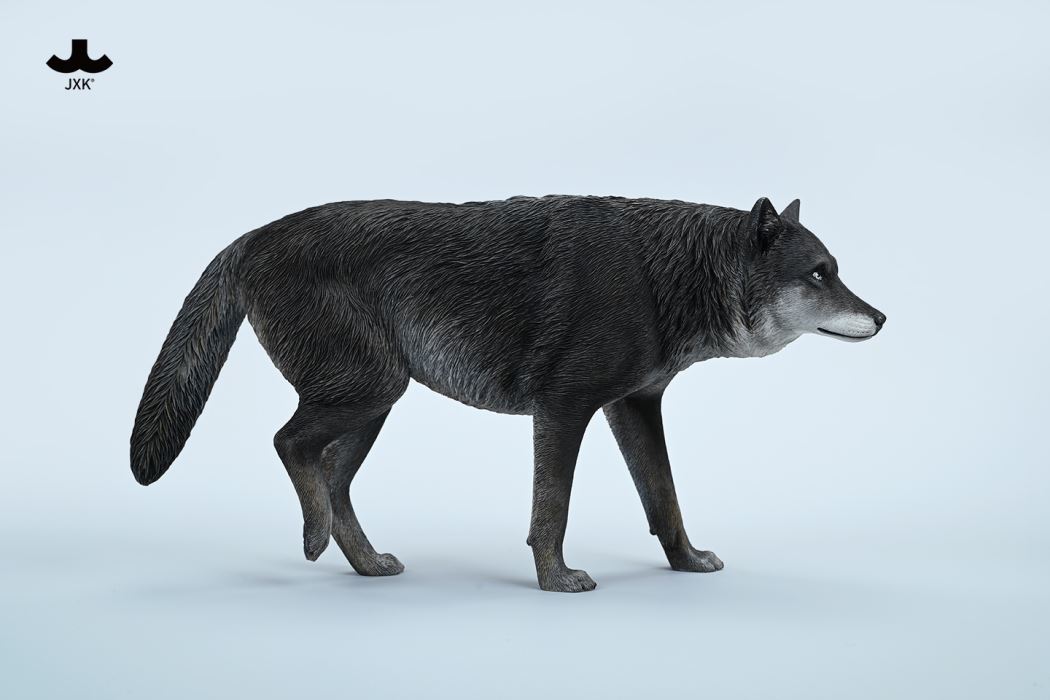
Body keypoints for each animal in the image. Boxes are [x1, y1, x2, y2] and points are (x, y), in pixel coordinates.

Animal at [130, 195, 885, 592]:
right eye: (819, 273)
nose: (881, 318)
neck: (661, 274)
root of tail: (251, 235)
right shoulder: (564, 409)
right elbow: (551, 510)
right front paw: (556, 579)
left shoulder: (634, 407)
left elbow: (664, 501)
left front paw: (687, 564)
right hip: (367, 391)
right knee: (289, 445)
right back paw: (316, 541)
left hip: (375, 404)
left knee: (330, 479)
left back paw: (368, 565)